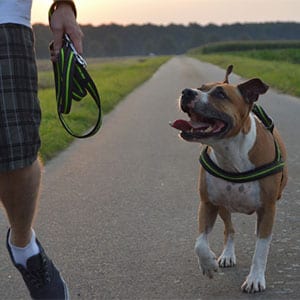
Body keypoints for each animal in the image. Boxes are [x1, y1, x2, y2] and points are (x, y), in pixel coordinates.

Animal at [170, 65, 288, 292]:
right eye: (200, 88)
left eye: (220, 94)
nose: (187, 92)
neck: (231, 153)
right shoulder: (208, 203)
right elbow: (200, 243)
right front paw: (208, 264)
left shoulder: (268, 209)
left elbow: (261, 248)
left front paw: (255, 279)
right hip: (224, 206)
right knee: (230, 229)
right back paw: (227, 255)